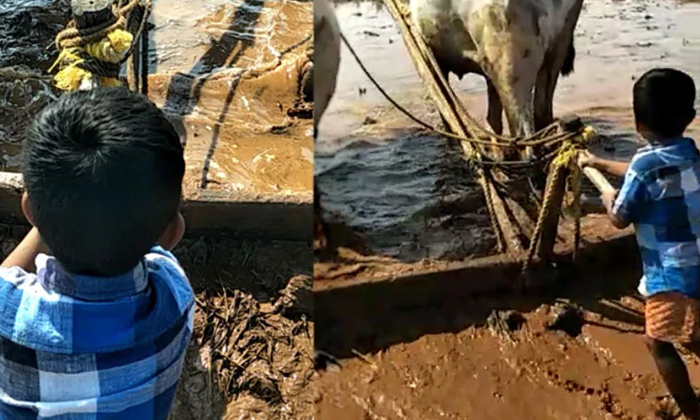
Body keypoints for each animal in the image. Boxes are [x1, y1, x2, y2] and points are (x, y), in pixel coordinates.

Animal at [410, 0, 584, 144]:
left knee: (522, 133)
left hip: (508, 64)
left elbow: (448, 112)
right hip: (559, 42)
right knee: (541, 113)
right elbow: (492, 120)